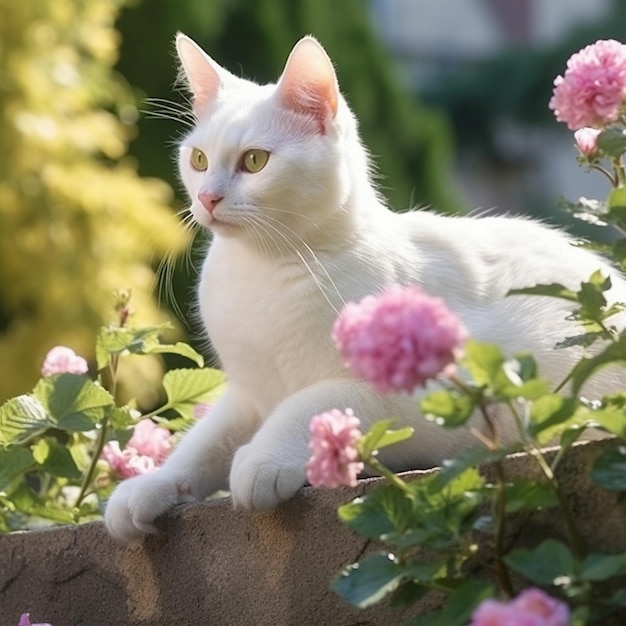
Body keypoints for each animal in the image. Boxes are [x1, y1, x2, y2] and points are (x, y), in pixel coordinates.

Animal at [105, 34, 624, 540]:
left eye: (255, 161)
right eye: (198, 159)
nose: (207, 197)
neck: (263, 272)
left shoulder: (438, 393)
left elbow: (309, 403)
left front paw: (264, 458)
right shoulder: (248, 392)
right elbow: (202, 442)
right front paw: (153, 484)